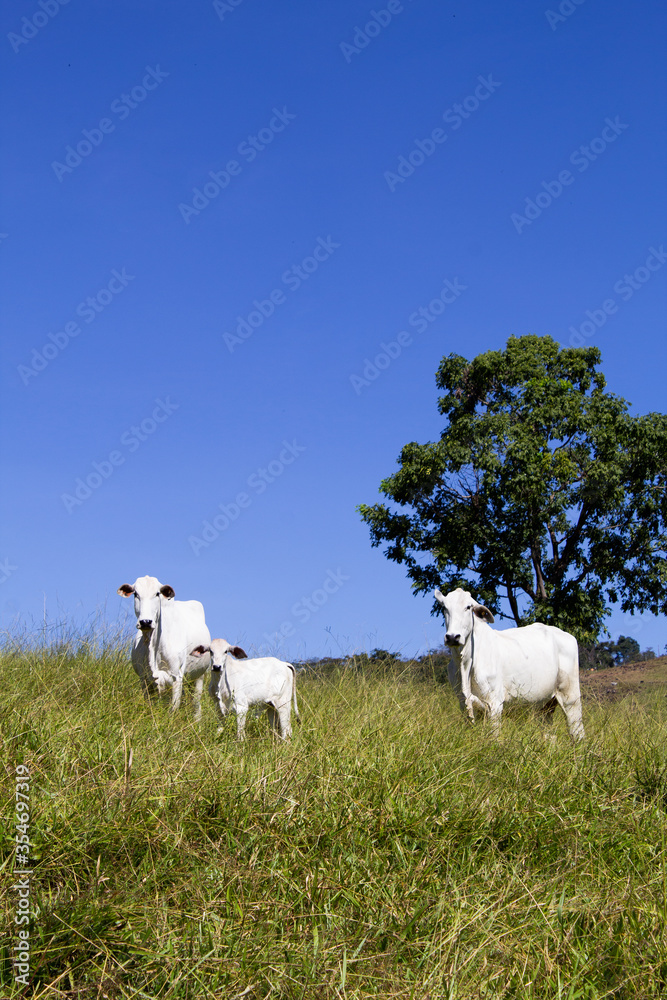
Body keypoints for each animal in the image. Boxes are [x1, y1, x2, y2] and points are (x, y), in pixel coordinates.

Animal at [118, 575, 211, 719]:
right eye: (135, 594)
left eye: (157, 593)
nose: (145, 622)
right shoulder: (145, 680)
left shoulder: (176, 677)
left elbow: (173, 709)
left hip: (199, 676)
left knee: (196, 704)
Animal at [434, 587, 584, 739]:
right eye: (445, 607)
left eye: (468, 607)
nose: (452, 637)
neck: (464, 663)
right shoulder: (464, 704)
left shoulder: (494, 703)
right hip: (545, 706)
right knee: (549, 735)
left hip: (571, 697)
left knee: (577, 732)